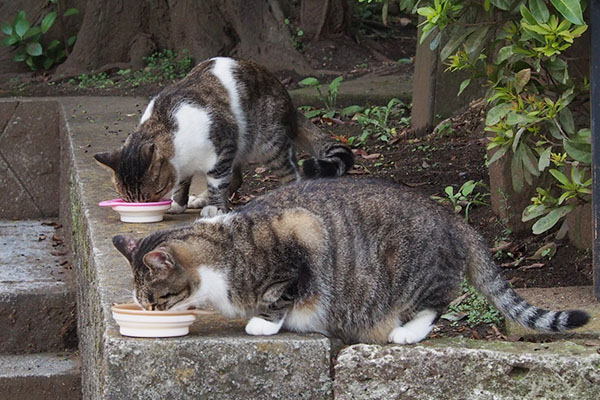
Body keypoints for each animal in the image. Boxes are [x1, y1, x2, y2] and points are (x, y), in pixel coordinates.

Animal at [95, 57, 352, 216]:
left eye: (156, 193)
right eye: (130, 199)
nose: (145, 207)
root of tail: (285, 94)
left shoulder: (223, 145)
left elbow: (217, 181)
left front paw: (216, 207)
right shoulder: (186, 165)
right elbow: (182, 183)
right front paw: (178, 204)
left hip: (269, 144)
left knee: (290, 173)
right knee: (237, 178)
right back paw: (200, 198)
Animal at [110, 178, 588, 344]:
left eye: (155, 299)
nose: (149, 312)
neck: (223, 252)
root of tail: (454, 220)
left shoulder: (301, 241)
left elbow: (279, 295)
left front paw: (263, 322)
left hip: (413, 272)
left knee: (436, 303)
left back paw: (406, 333)